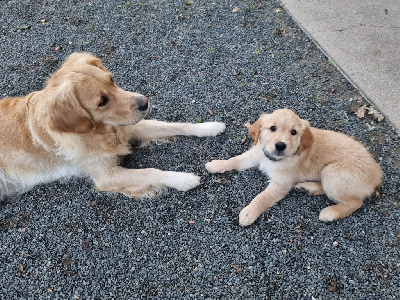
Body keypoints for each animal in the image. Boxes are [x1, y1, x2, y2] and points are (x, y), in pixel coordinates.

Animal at [0, 52, 225, 200]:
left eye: (111, 79)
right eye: (102, 101)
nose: (145, 102)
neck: (103, 132)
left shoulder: (130, 127)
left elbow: (176, 126)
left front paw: (210, 127)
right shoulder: (106, 176)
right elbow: (149, 172)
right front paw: (183, 179)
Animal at [205, 108, 382, 225]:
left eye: (293, 132)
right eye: (272, 128)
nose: (280, 145)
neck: (274, 159)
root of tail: (377, 173)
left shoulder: (281, 183)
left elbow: (262, 197)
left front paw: (249, 213)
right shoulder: (255, 154)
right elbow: (235, 160)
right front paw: (216, 164)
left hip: (332, 172)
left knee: (355, 202)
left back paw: (330, 212)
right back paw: (307, 187)